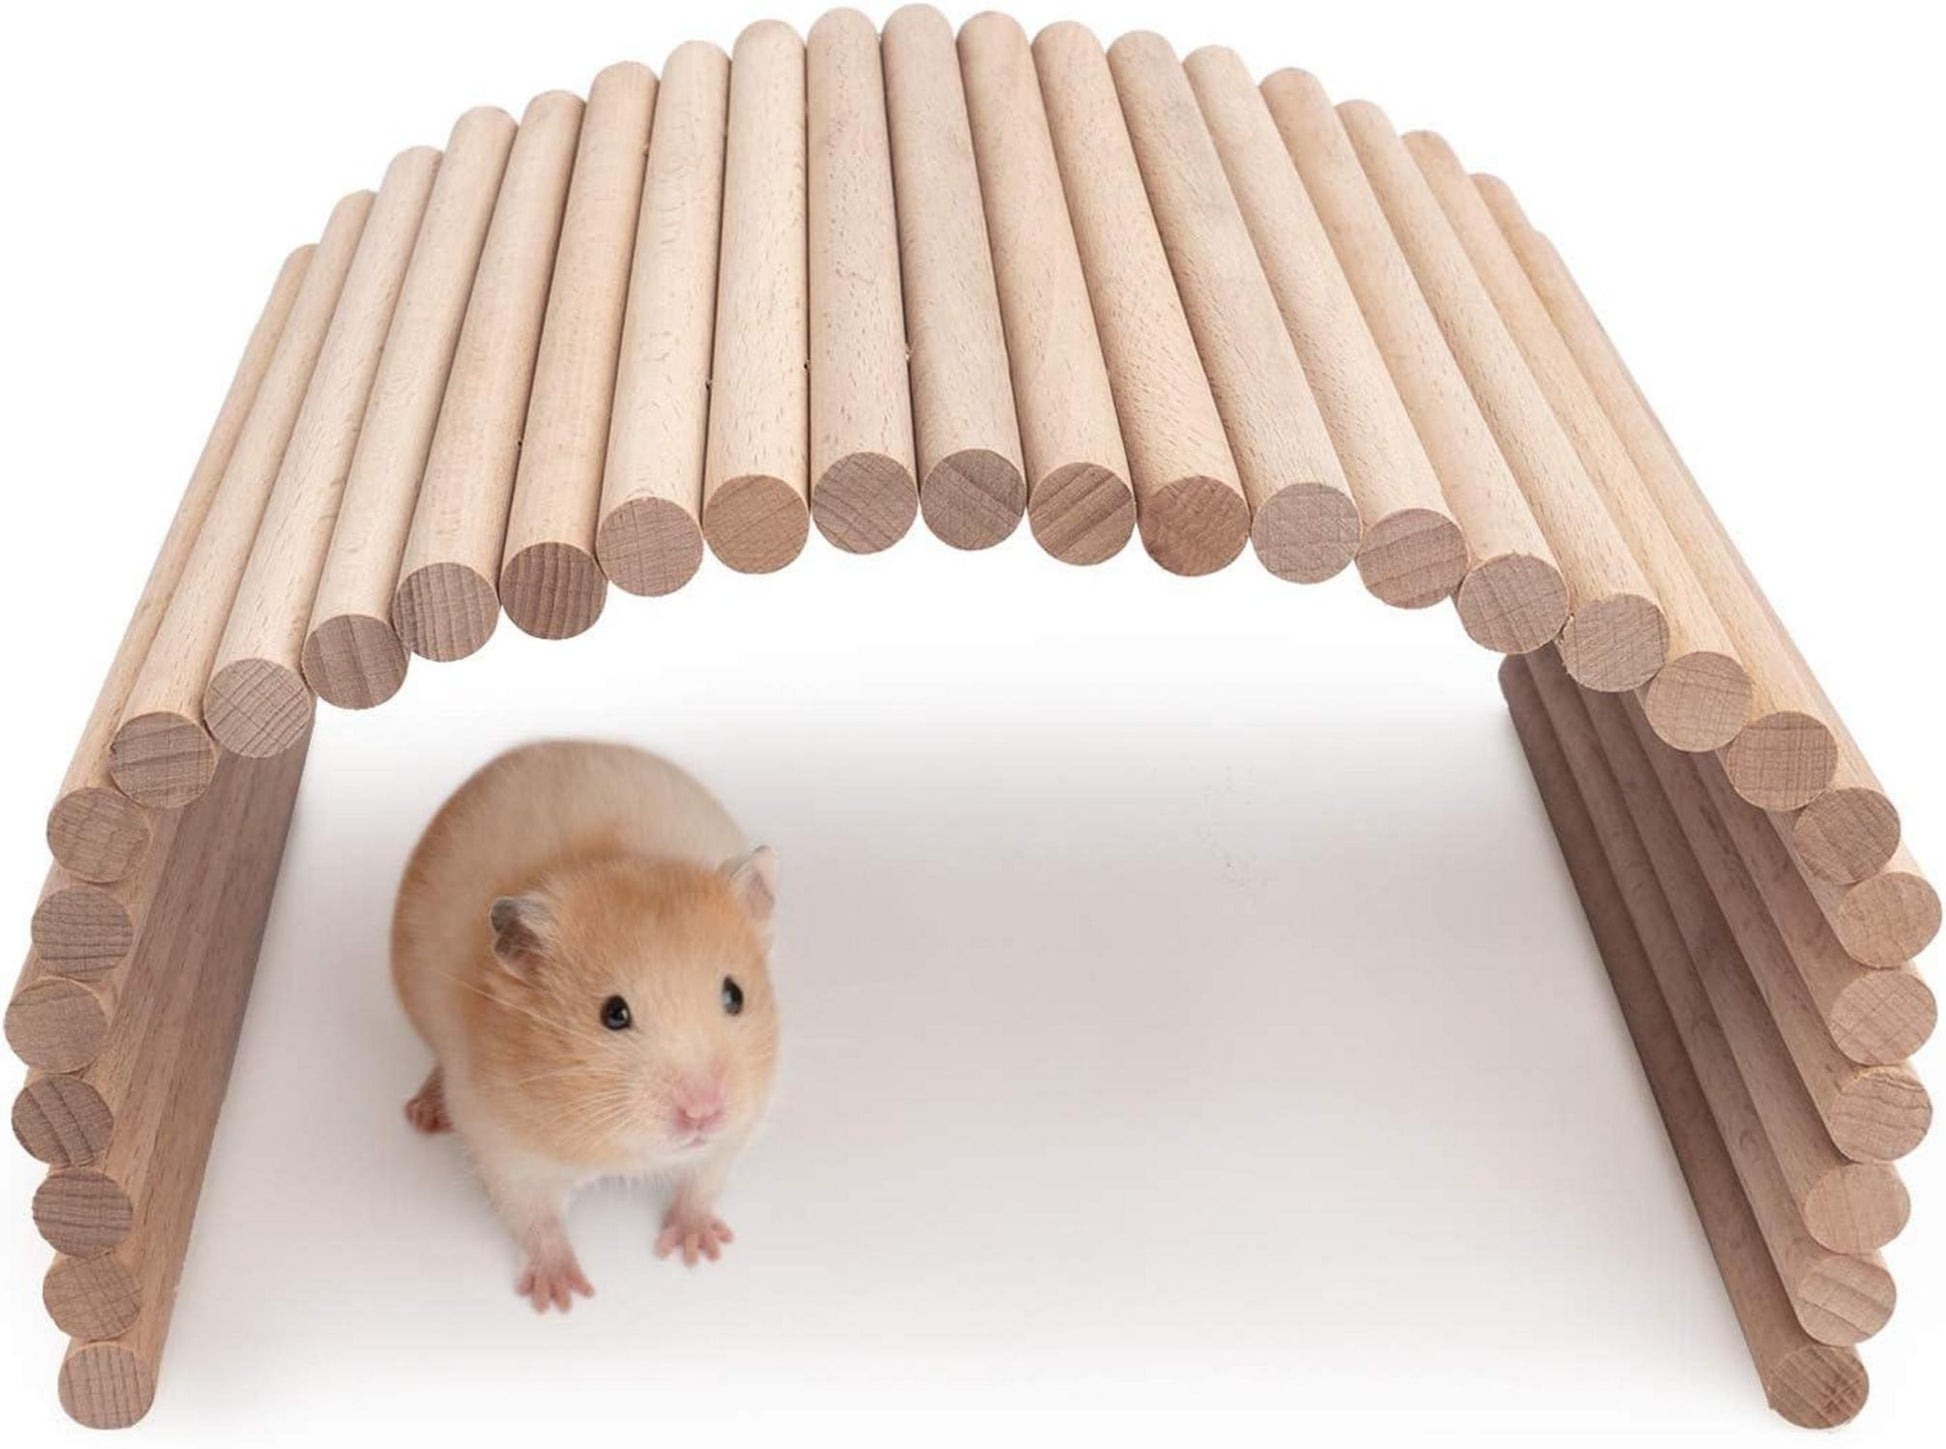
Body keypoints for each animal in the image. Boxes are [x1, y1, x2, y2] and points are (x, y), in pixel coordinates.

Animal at [392, 740, 779, 1312]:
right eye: (613, 1014)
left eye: (735, 995)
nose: (703, 1113)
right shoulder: (502, 1146)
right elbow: (535, 1219)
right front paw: (561, 1297)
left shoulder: (739, 1126)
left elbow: (703, 1181)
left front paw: (697, 1250)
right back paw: (422, 1114)